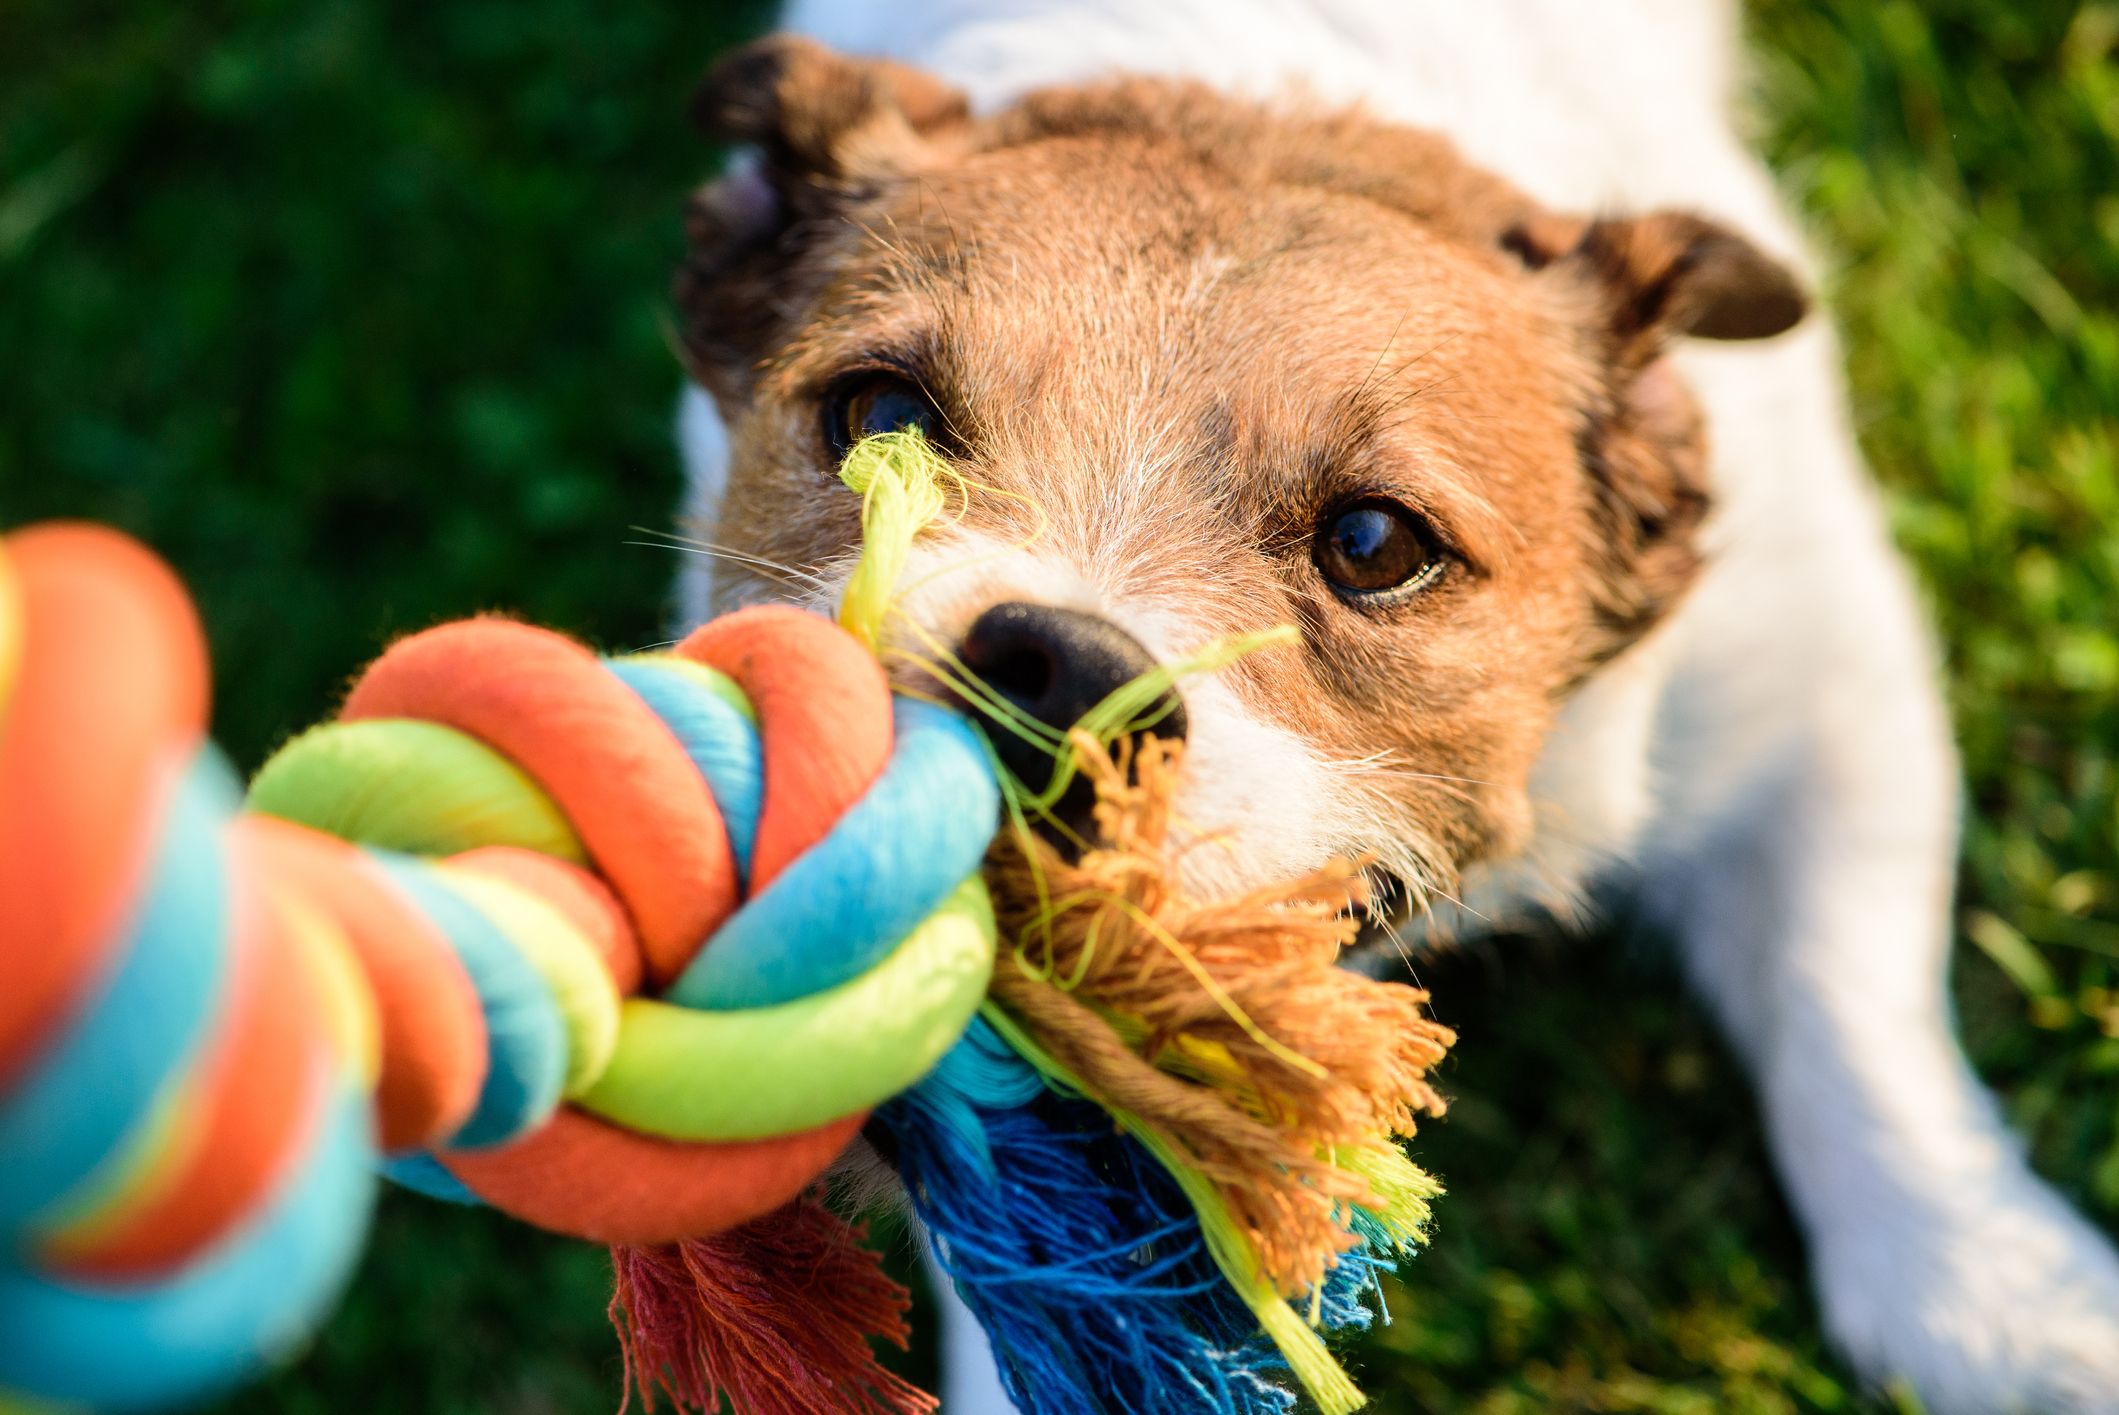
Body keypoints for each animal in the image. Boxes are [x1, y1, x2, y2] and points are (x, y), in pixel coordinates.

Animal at [669, 5, 2119, 1406]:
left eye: (1373, 542)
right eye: (877, 415)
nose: (1054, 668)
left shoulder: (1817, 676)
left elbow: (1850, 989)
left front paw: (1991, 1298)